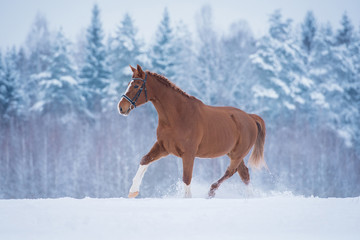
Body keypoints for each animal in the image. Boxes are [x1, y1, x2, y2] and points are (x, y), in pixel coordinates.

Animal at [118, 64, 268, 198]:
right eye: (129, 84)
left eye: (136, 86)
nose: (121, 107)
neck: (178, 116)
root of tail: (250, 117)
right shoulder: (163, 147)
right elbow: (145, 160)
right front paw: (133, 191)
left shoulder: (188, 154)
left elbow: (186, 178)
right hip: (233, 154)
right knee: (244, 174)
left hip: (237, 154)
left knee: (231, 171)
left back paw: (211, 192)